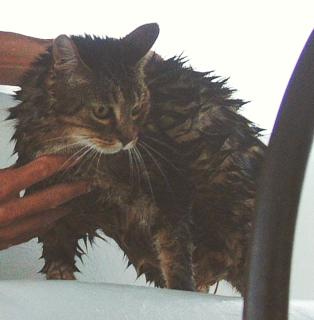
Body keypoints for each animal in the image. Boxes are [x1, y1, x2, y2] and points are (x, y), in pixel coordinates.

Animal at [8, 23, 264, 296]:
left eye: (137, 108)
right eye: (101, 111)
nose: (129, 138)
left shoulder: (170, 187)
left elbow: (175, 251)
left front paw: (181, 289)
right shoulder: (58, 205)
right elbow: (56, 251)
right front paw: (60, 276)